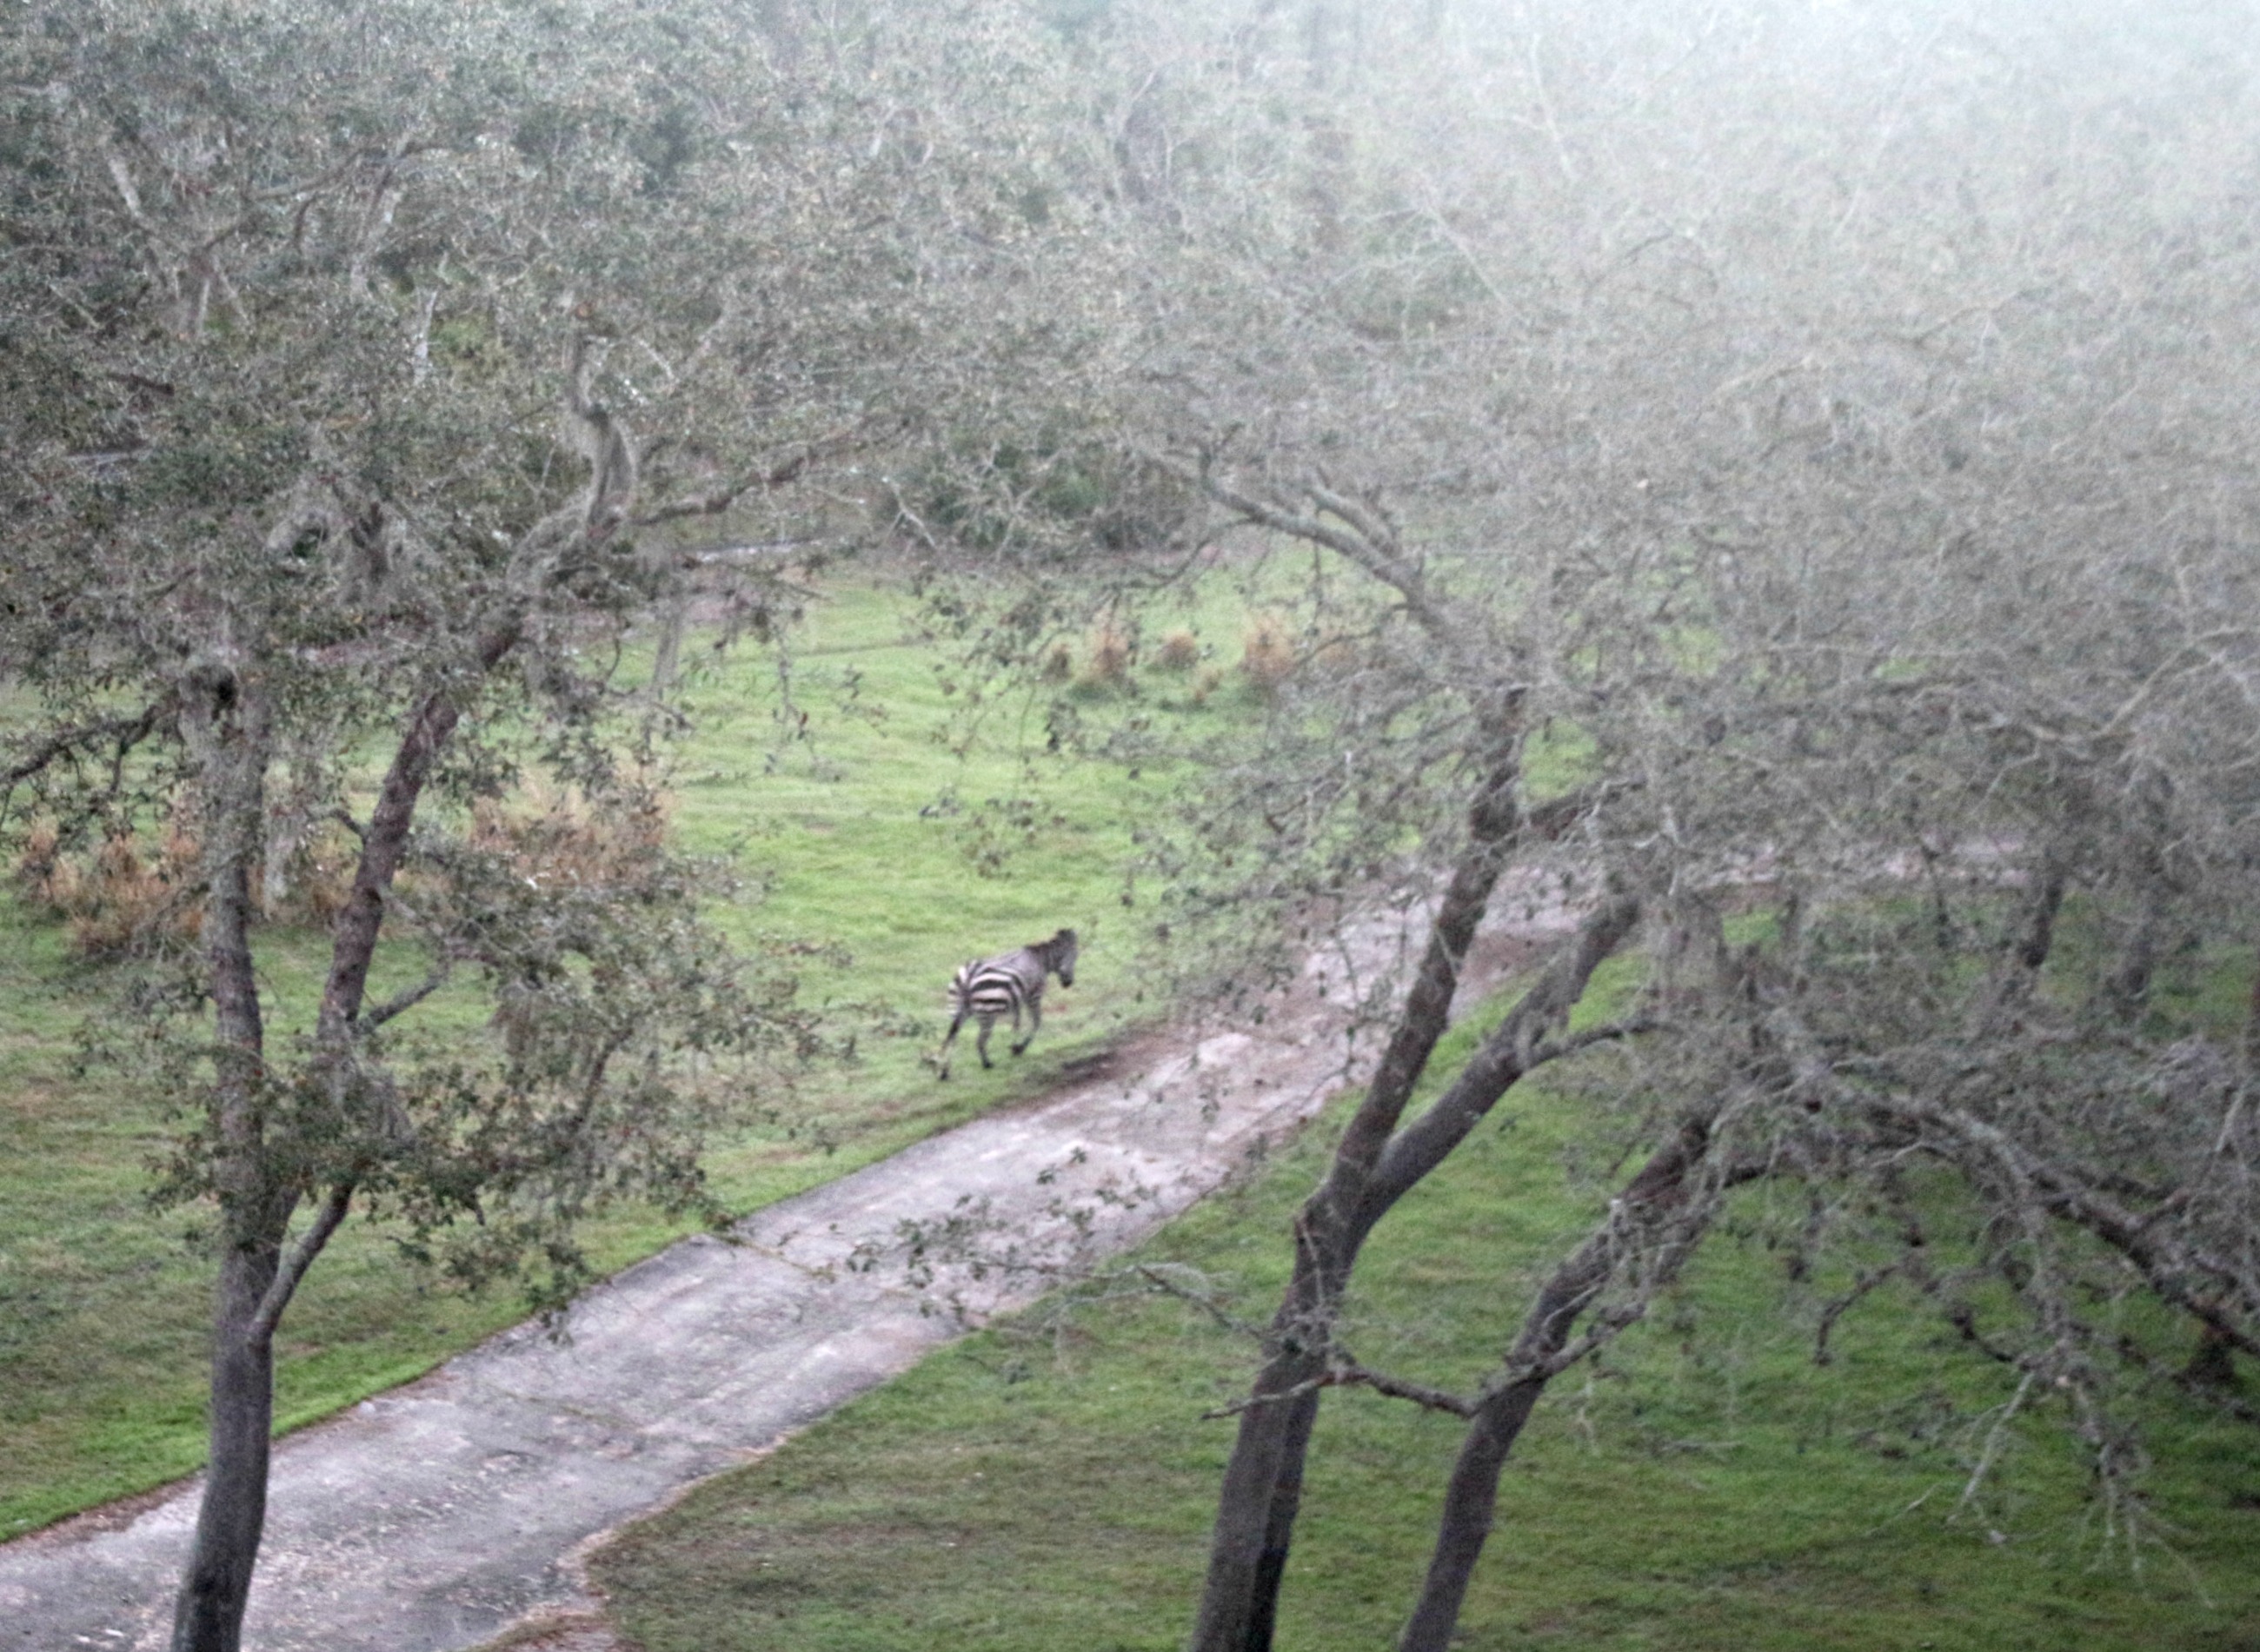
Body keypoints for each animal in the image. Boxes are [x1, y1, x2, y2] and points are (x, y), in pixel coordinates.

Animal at [935, 922, 1075, 1080]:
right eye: (1075, 956)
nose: (1068, 983)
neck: (1041, 960)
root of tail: (970, 976)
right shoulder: (1033, 995)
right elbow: (1036, 1021)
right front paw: (1020, 1048)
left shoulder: (1018, 998)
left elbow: (1016, 1023)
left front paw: (1014, 1047)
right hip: (987, 1013)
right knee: (979, 1040)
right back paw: (987, 1063)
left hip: (959, 1009)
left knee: (952, 1037)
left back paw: (944, 1072)